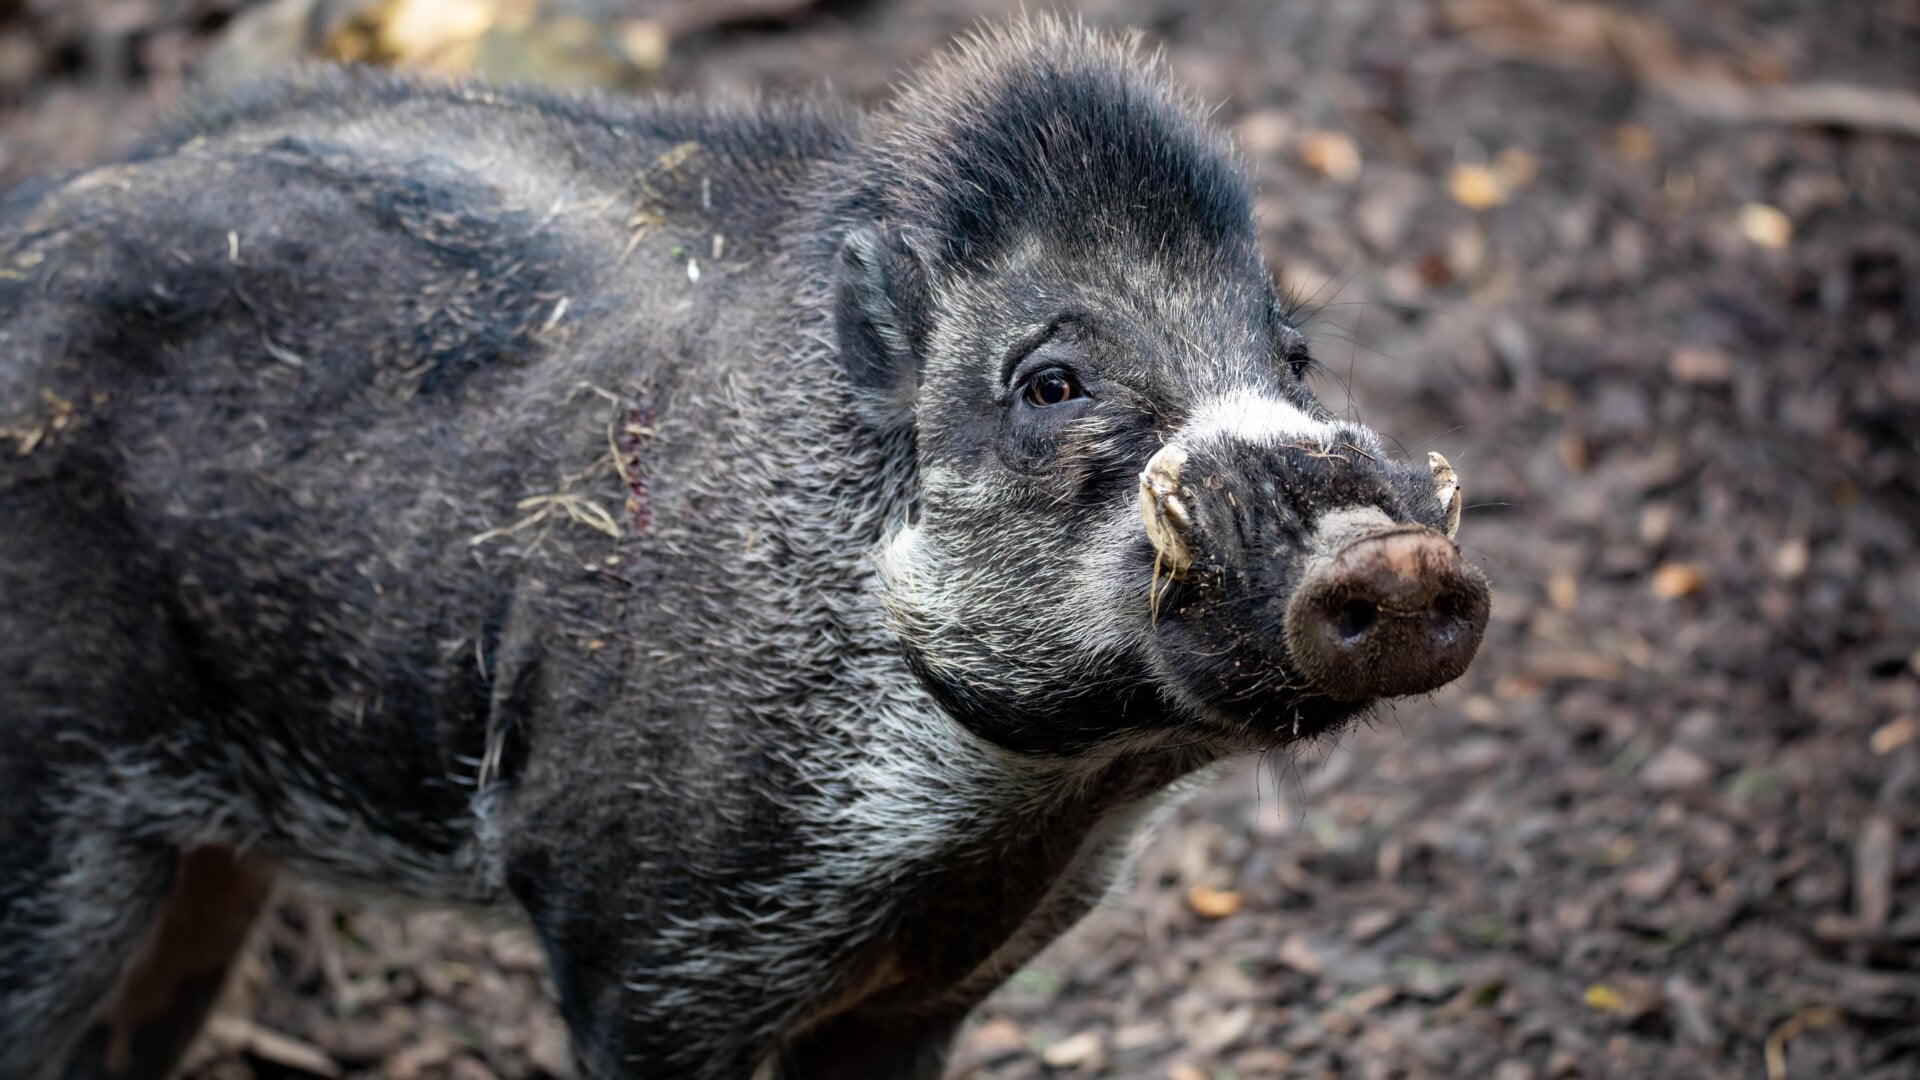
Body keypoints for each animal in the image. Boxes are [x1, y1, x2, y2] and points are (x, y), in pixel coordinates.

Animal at [0, 18, 1488, 1080]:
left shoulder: (936, 988)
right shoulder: (633, 940)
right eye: (1050, 382)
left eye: (1290, 356)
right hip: (53, 813)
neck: (1014, 807)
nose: (1394, 556)